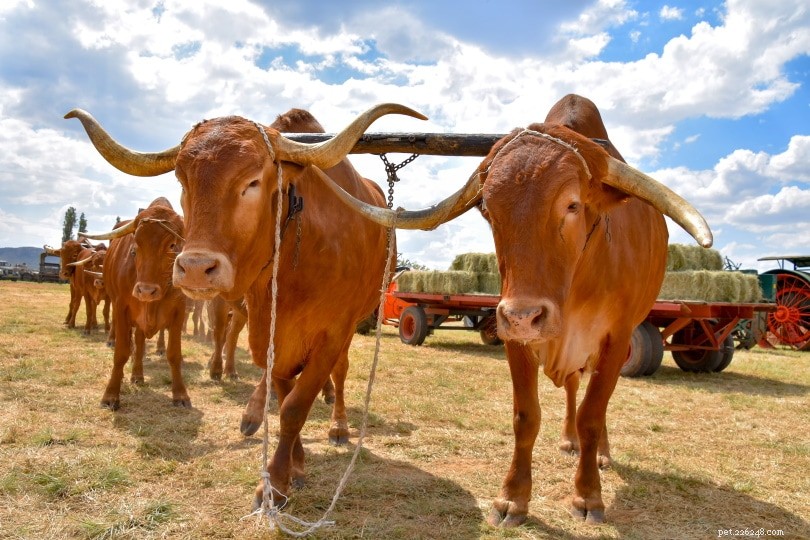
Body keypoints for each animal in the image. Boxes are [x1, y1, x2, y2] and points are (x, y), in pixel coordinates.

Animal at [82, 198, 189, 410]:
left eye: (172, 245)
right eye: (135, 247)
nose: (146, 291)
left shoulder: (179, 311)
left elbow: (174, 354)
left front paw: (180, 394)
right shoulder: (121, 307)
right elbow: (122, 352)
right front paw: (111, 395)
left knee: (139, 342)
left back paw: (137, 374)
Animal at [309, 94, 712, 526]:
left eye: (572, 204)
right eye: (488, 209)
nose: (524, 315)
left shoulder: (616, 338)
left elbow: (592, 414)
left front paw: (588, 496)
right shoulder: (514, 337)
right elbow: (526, 416)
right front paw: (512, 498)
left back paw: (601, 454)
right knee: (572, 387)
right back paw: (568, 440)